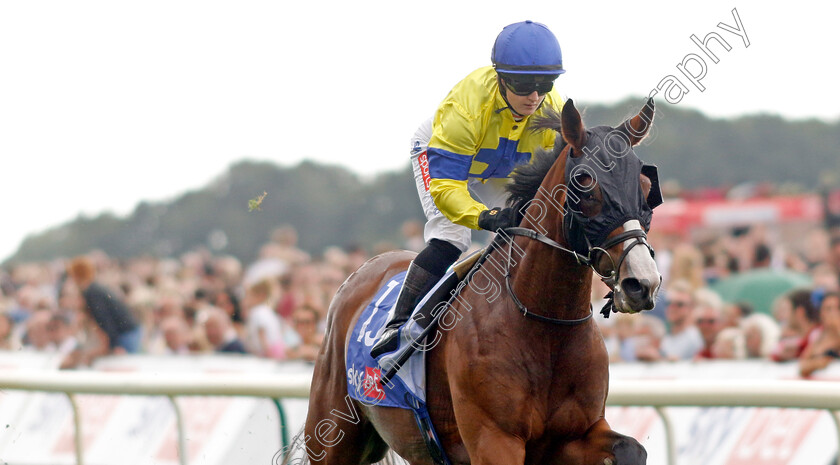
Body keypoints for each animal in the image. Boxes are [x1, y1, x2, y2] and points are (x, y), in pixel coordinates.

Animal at [296, 99, 664, 464]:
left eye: (646, 189)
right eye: (585, 183)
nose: (642, 282)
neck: (545, 325)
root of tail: (364, 269)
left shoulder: (577, 434)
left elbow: (632, 448)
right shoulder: (494, 439)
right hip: (332, 434)